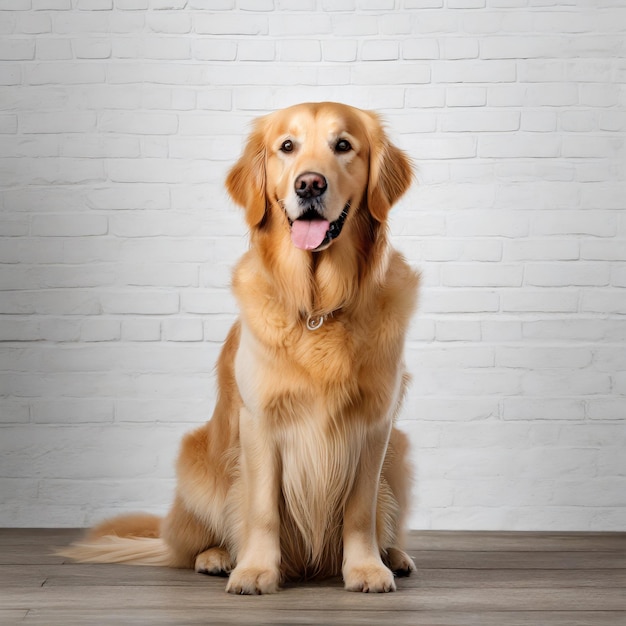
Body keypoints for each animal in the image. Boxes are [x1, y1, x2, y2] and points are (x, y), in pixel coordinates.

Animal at [61, 100, 416, 592]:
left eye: (343, 146)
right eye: (287, 146)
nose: (309, 184)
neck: (317, 306)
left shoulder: (376, 425)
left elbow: (361, 510)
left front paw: (365, 568)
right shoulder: (260, 421)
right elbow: (262, 509)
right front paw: (256, 570)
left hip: (400, 454)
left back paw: (394, 554)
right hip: (196, 463)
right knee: (193, 543)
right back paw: (217, 557)